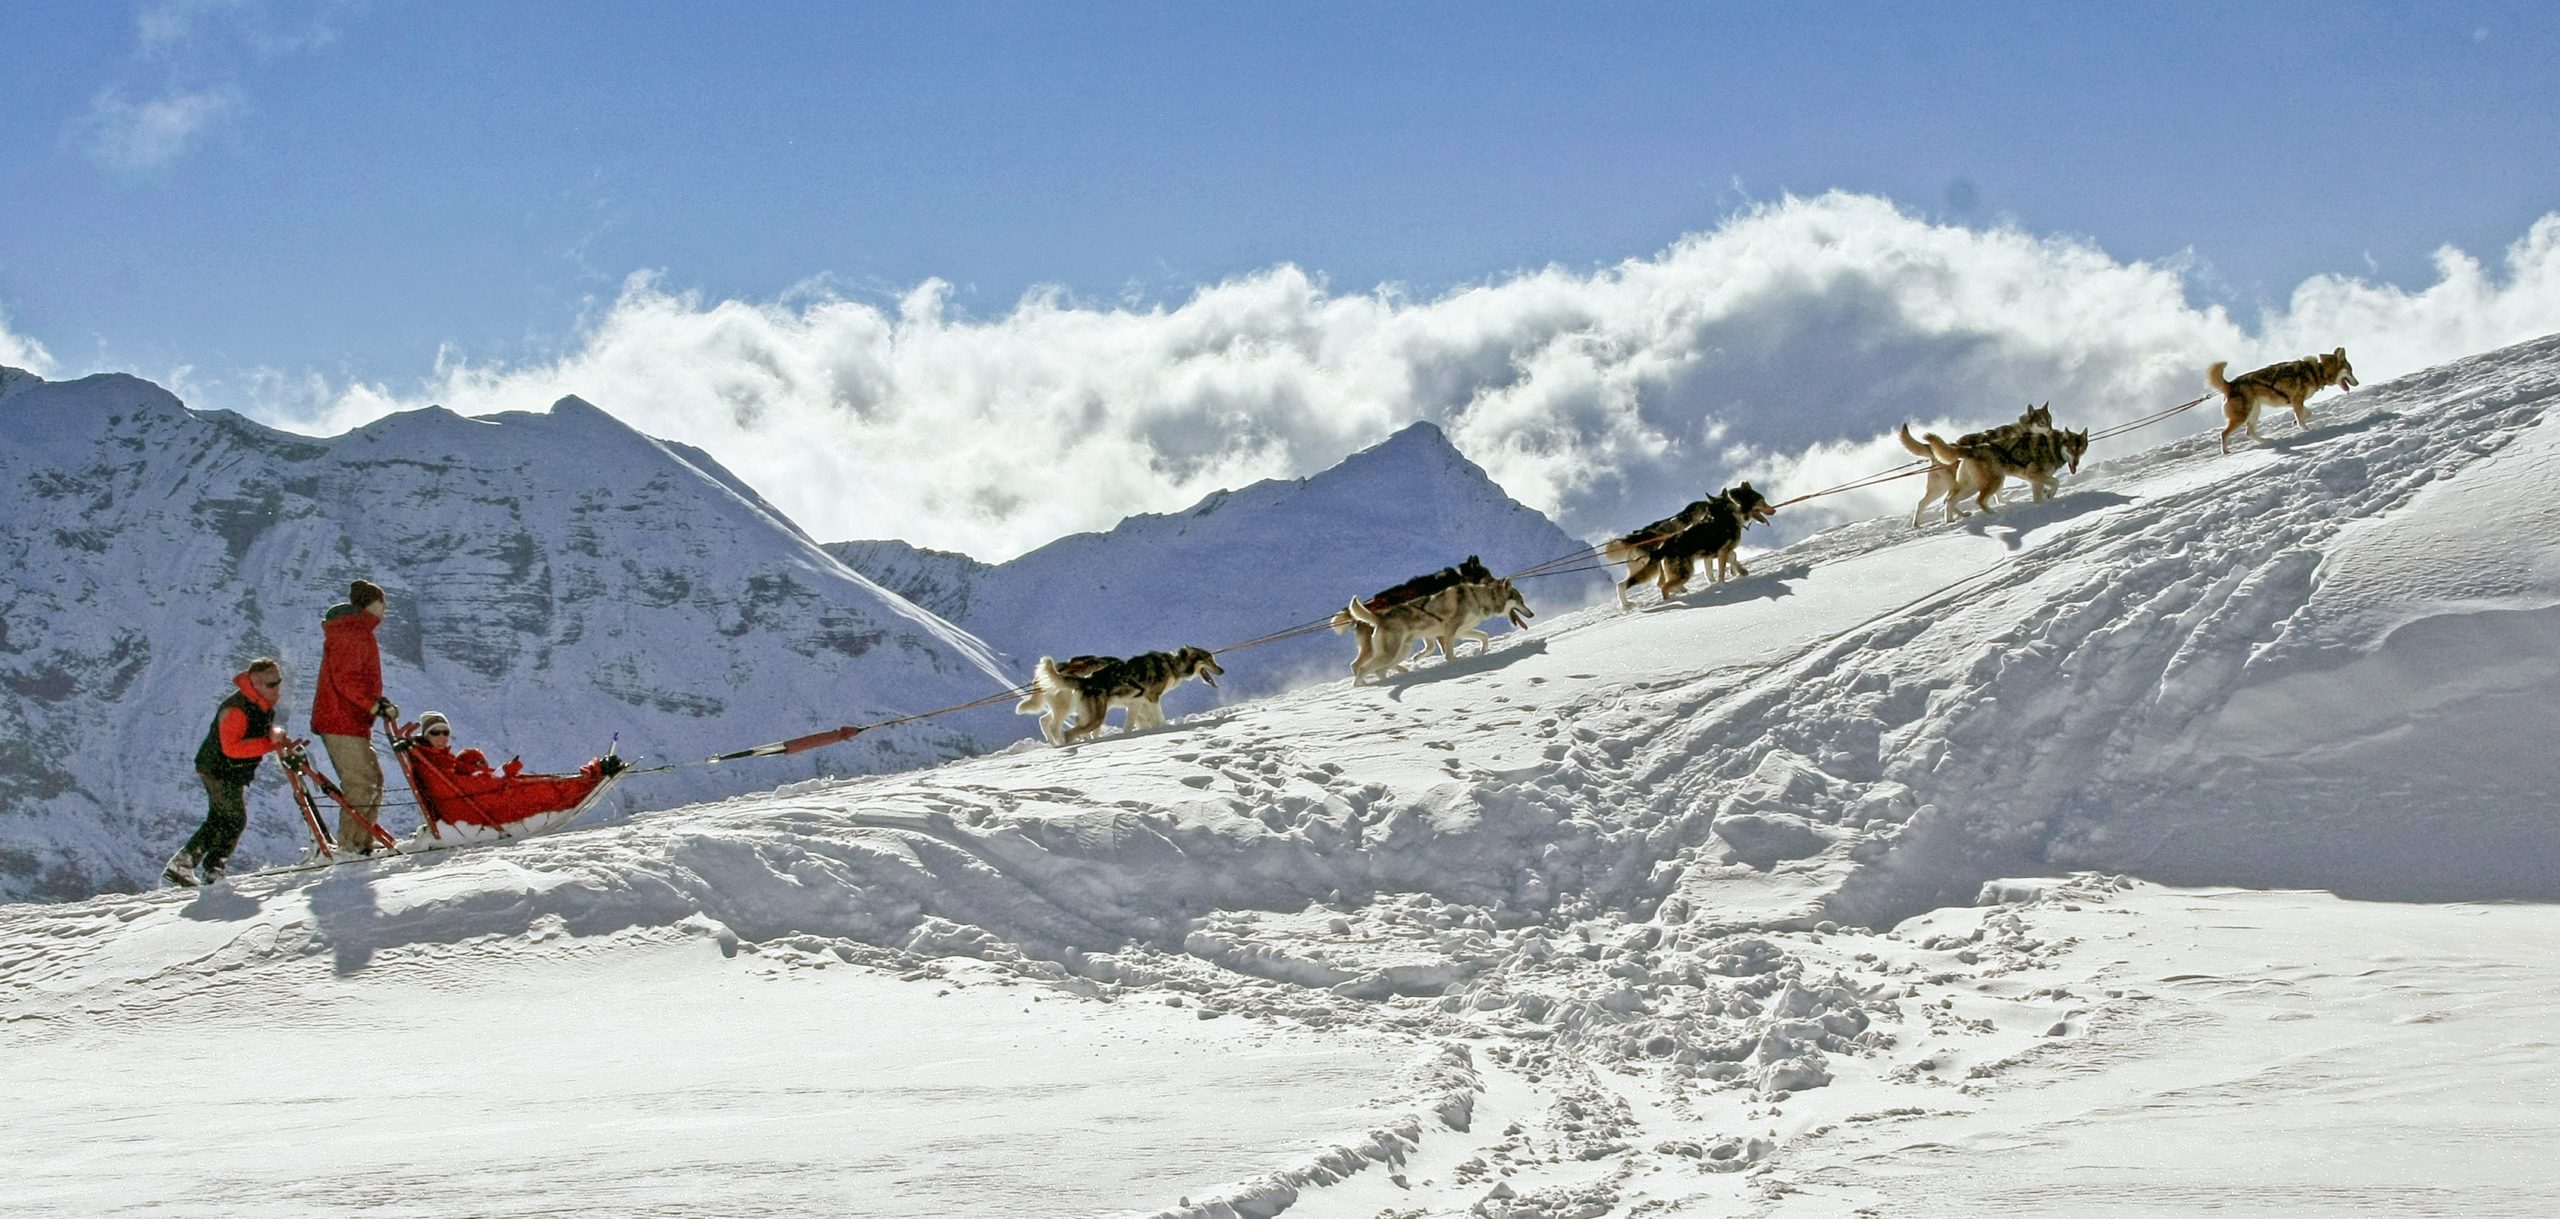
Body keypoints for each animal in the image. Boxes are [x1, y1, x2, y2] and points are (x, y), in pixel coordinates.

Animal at [1013, 647, 1223, 742]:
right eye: (1209, 659)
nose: (1222, 670)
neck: (1172, 664)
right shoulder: (1151, 698)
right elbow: (1158, 719)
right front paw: (1164, 728)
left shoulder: (1136, 703)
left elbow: (1133, 725)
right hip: (1076, 710)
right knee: (1059, 727)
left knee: (1048, 721)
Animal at [1351, 576, 1525, 681]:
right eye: (1520, 601)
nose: (1530, 613)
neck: (1477, 598)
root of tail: (1379, 617)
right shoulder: (1450, 630)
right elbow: (1449, 654)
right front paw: (1456, 660)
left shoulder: (1460, 631)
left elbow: (1484, 636)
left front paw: (1483, 651)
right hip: (1389, 654)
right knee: (1361, 668)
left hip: (1401, 651)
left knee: (1378, 670)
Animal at [1607, 478, 1771, 606]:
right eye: (1762, 501)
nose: (1773, 510)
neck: (1721, 512)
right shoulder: (1721, 550)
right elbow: (1725, 566)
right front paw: (1727, 580)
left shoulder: (1712, 553)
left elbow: (1722, 565)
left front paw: (1736, 573)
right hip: (1679, 571)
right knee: (1662, 586)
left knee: (1643, 584)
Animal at [1904, 404, 2058, 527]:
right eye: (2042, 422)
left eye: (2050, 421)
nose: (2052, 431)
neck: (2022, 431)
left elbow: (2002, 492)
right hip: (1953, 485)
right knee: (1945, 501)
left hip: (1942, 488)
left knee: (1930, 502)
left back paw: (1923, 523)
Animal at [2201, 345, 2355, 455]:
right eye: (2350, 371)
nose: (2357, 382)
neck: (2317, 371)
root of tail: (2229, 385)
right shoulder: (2297, 400)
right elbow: (2302, 419)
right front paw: (2306, 429)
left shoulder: (2296, 402)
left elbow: (2306, 414)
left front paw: (2295, 422)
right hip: (2242, 416)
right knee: (2224, 433)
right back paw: (2225, 451)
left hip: (2254, 411)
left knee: (2249, 432)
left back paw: (2266, 441)